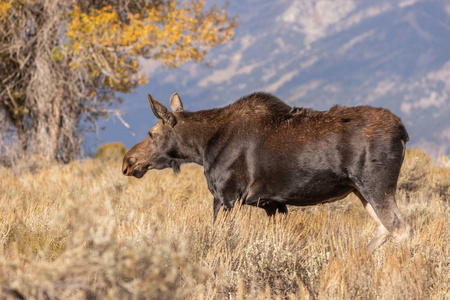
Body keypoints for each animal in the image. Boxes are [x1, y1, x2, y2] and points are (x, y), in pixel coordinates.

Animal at [122, 91, 412, 253]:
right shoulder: (273, 203)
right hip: (359, 189)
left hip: (375, 184)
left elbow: (218, 238)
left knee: (400, 227)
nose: (128, 161)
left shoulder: (226, 196)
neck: (201, 147)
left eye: (151, 133)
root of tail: (402, 130)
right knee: (384, 228)